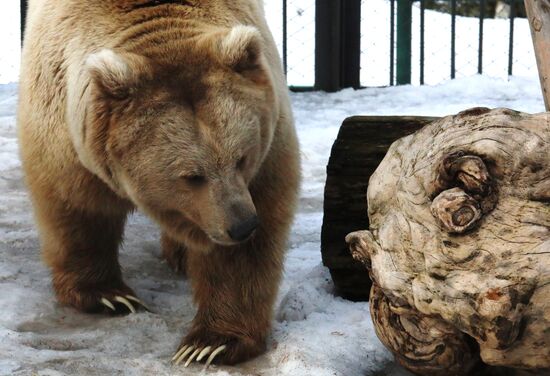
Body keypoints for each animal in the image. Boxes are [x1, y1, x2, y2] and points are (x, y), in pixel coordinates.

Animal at [18, 0, 302, 366]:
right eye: (192, 176)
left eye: (241, 157)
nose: (242, 226)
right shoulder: (63, 126)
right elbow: (77, 207)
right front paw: (109, 296)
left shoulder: (267, 142)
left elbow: (247, 247)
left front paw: (211, 343)